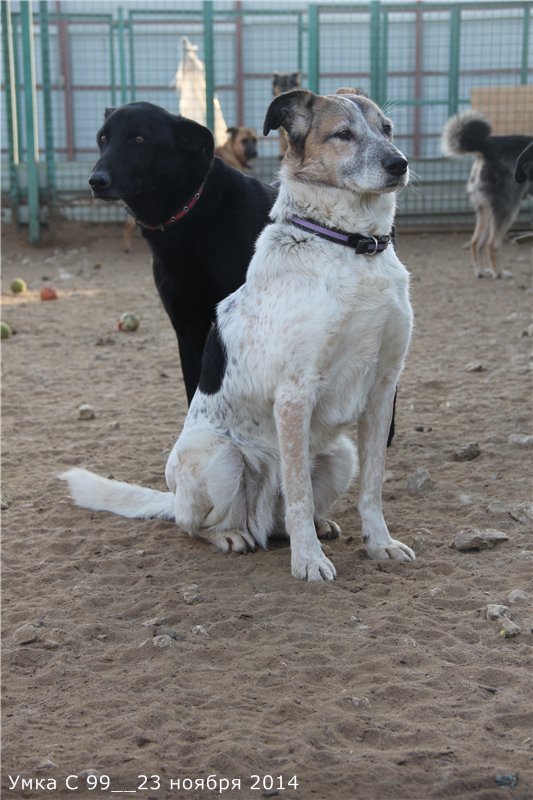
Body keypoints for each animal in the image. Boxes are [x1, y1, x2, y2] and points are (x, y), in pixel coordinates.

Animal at [442, 110, 533, 278]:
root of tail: (488, 145)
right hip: (508, 207)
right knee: (492, 244)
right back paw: (499, 273)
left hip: (485, 208)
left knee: (476, 242)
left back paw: (481, 271)